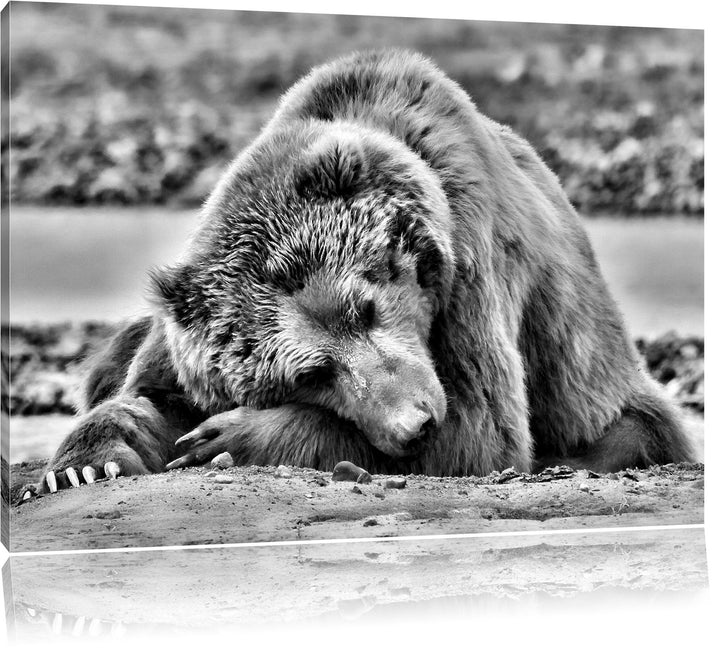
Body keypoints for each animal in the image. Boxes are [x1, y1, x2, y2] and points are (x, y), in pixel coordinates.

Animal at [31, 49, 695, 494]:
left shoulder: (471, 266)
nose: (414, 424)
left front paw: (229, 437)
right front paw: (85, 463)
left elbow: (480, 431)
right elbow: (148, 393)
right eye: (311, 373)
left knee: (625, 431)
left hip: (597, 384)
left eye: (366, 306)